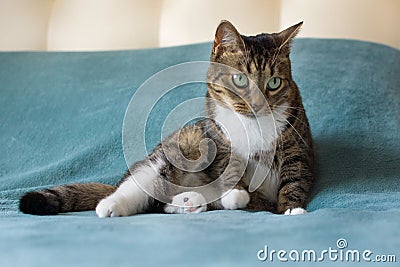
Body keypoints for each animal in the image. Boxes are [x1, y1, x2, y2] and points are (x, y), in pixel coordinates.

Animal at [19, 21, 316, 218]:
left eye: (274, 82)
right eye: (240, 79)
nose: (257, 103)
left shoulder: (296, 146)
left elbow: (294, 178)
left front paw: (291, 210)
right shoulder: (220, 141)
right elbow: (230, 170)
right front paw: (237, 192)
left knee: (165, 203)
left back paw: (189, 201)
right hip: (179, 146)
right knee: (142, 185)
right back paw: (112, 205)